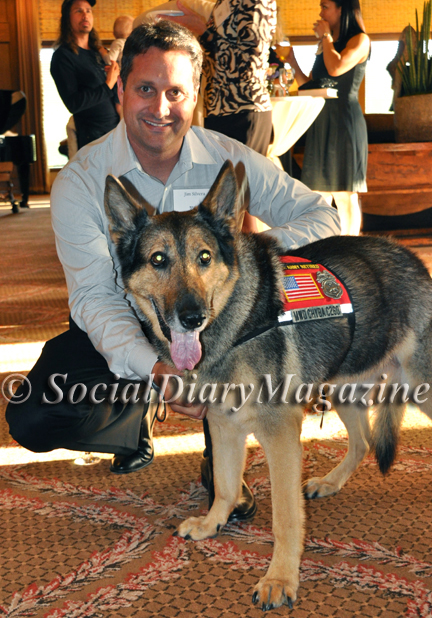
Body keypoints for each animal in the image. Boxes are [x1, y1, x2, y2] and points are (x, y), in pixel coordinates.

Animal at [104, 161, 432, 608]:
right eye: (158, 260)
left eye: (204, 257)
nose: (191, 317)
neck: (235, 325)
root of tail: (412, 257)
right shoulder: (223, 425)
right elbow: (225, 486)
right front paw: (212, 524)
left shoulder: (280, 437)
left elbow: (285, 518)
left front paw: (280, 578)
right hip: (341, 387)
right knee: (363, 442)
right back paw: (330, 482)